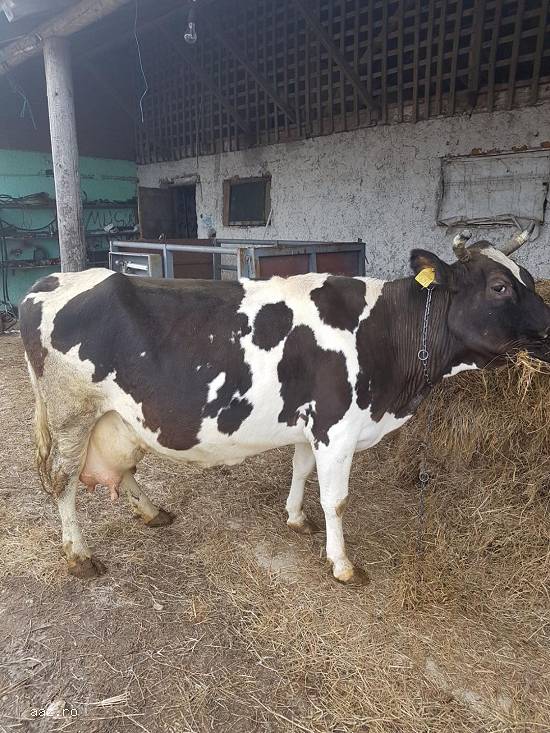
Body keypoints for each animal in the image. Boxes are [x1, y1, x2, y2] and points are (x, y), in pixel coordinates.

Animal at [19, 229, 550, 583]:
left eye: (527, 277)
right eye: (500, 286)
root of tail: (51, 281)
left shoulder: (311, 424)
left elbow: (300, 470)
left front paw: (295, 518)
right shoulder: (337, 427)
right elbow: (336, 498)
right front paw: (342, 564)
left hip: (120, 417)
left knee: (122, 466)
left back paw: (152, 512)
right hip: (72, 415)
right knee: (62, 481)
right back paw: (79, 555)